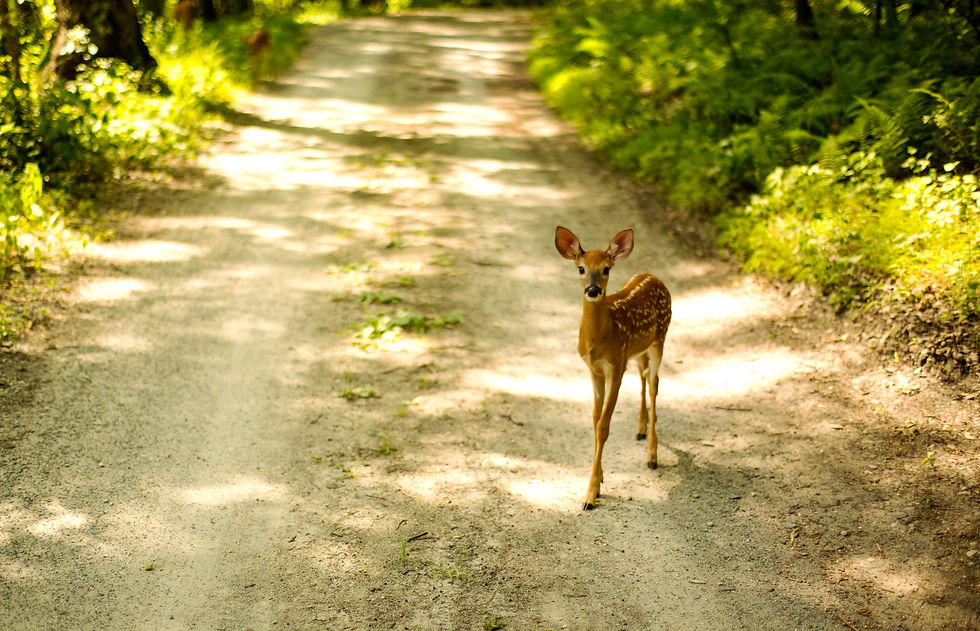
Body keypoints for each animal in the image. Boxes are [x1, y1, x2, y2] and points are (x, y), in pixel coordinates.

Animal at [555, 226, 672, 511]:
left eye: (606, 268)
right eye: (581, 268)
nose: (593, 289)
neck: (600, 338)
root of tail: (653, 277)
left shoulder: (616, 367)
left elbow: (603, 426)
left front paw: (590, 494)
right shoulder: (595, 369)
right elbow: (595, 419)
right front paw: (600, 480)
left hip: (659, 340)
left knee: (654, 384)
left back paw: (652, 455)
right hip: (638, 351)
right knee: (643, 377)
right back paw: (640, 430)